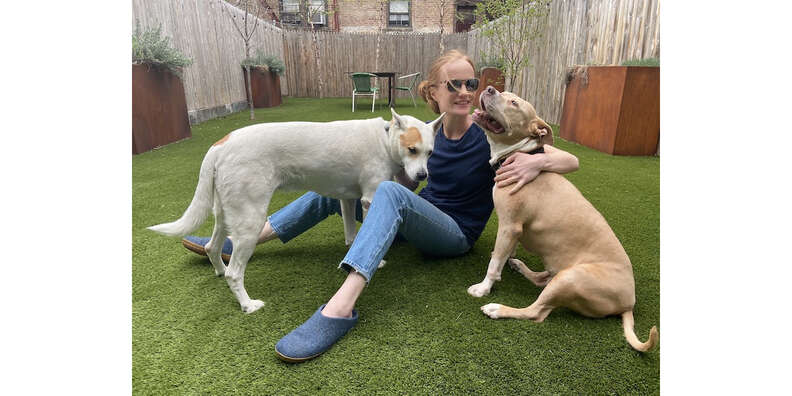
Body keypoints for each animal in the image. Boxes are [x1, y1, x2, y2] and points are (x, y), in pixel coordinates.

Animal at [150, 108, 446, 312]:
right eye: (412, 149)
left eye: (430, 152)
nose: (422, 176)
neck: (385, 139)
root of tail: (221, 144)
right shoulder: (370, 199)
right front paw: (380, 261)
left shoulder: (347, 200)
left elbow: (352, 235)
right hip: (250, 219)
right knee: (236, 272)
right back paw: (248, 305)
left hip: (226, 213)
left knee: (213, 247)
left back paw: (219, 269)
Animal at [468, 86, 660, 352]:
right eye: (505, 93)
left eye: (514, 103)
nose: (489, 88)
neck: (519, 152)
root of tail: (629, 303)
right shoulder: (513, 232)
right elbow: (503, 253)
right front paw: (509, 260)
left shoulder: (509, 226)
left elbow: (495, 263)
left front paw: (484, 288)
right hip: (560, 272)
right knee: (542, 281)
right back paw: (520, 267)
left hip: (571, 277)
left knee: (537, 312)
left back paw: (497, 309)